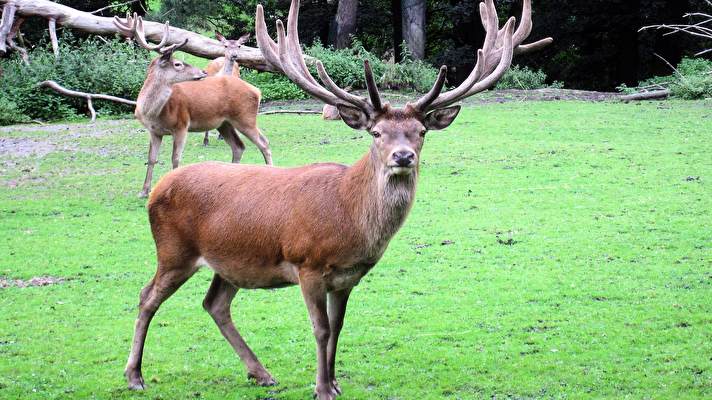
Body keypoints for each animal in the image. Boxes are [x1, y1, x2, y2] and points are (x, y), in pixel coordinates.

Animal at [114, 15, 272, 197]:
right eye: (178, 64)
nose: (203, 72)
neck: (152, 113)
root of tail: (257, 91)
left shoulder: (181, 124)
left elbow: (175, 158)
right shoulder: (154, 131)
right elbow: (151, 159)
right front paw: (144, 191)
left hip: (245, 117)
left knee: (264, 143)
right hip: (224, 123)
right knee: (238, 147)